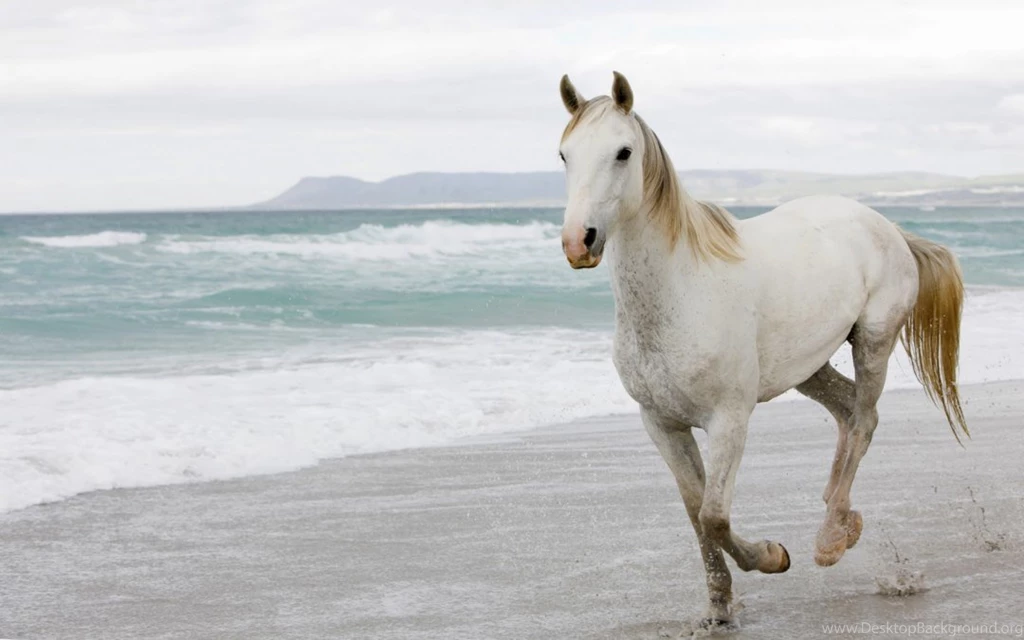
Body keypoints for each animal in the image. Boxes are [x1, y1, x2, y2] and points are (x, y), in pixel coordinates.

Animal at [556, 71, 968, 629]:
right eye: (564, 154)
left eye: (623, 152)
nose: (579, 242)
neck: (681, 291)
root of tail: (886, 226)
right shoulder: (661, 424)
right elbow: (695, 513)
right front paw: (718, 608)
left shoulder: (730, 419)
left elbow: (713, 514)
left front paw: (774, 556)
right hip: (809, 366)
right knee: (847, 411)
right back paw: (841, 517)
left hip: (874, 342)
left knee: (864, 420)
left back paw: (829, 539)